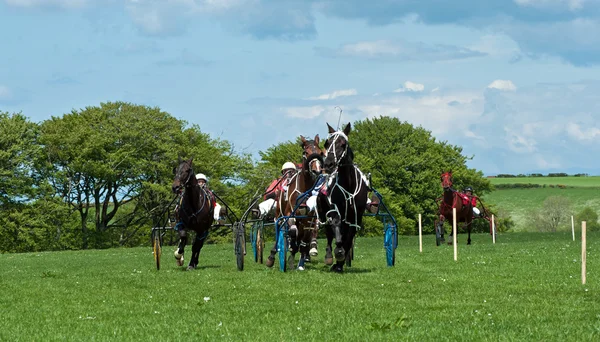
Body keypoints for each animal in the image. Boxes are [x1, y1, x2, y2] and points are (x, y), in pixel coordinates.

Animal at [316, 122, 368, 272]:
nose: (328, 164)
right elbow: (336, 229)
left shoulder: (356, 216)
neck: (349, 187)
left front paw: (340, 263)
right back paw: (329, 255)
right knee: (329, 233)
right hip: (323, 212)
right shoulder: (334, 211)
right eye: (327, 143)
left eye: (343, 144)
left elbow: (349, 238)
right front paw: (337, 253)